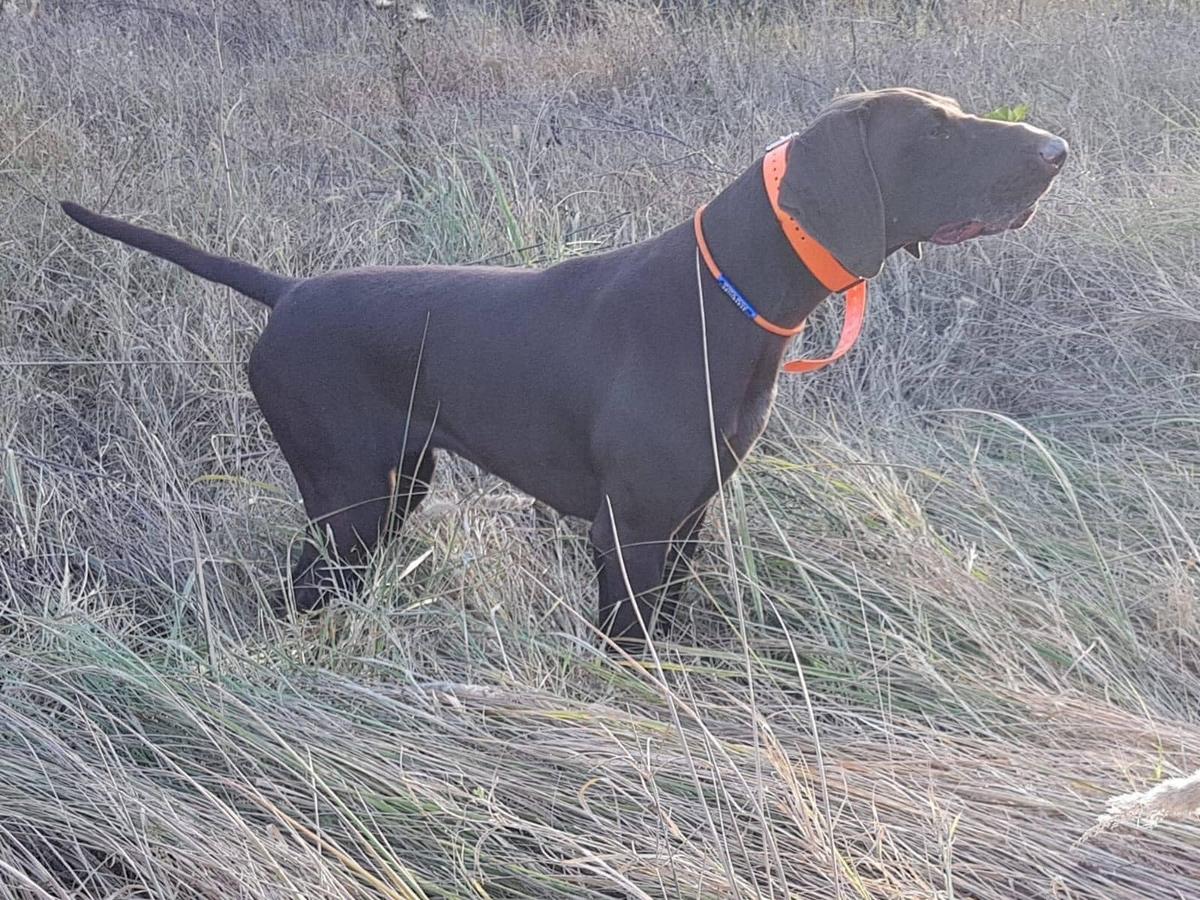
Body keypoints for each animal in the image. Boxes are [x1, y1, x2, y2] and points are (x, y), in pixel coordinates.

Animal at [60, 88, 1065, 643]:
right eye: (933, 132)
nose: (1058, 149)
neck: (724, 298)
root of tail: (290, 293)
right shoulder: (630, 532)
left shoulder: (686, 520)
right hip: (348, 504)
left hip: (395, 487)